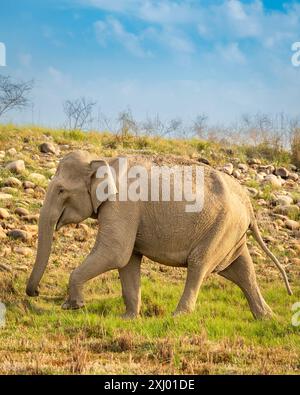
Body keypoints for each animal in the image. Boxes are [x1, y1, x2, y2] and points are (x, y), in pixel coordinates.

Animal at [26, 150, 290, 320]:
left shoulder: (123, 205)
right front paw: (128, 318)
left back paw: (178, 316)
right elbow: (128, 260)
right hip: (231, 232)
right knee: (242, 270)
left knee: (199, 265)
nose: (35, 292)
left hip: (222, 227)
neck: (103, 160)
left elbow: (116, 253)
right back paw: (268, 318)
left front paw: (71, 307)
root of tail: (249, 205)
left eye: (61, 190)